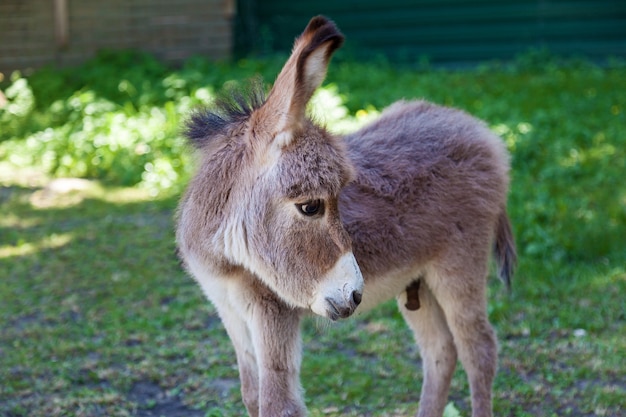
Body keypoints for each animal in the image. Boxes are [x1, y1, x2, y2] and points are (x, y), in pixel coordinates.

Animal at [174, 15, 512, 416]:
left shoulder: (272, 315)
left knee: (479, 348)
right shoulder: (230, 314)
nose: (355, 296)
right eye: (311, 206)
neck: (227, 261)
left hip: (459, 265)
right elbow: (251, 397)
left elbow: (276, 403)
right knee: (440, 351)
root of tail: (480, 130)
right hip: (419, 281)